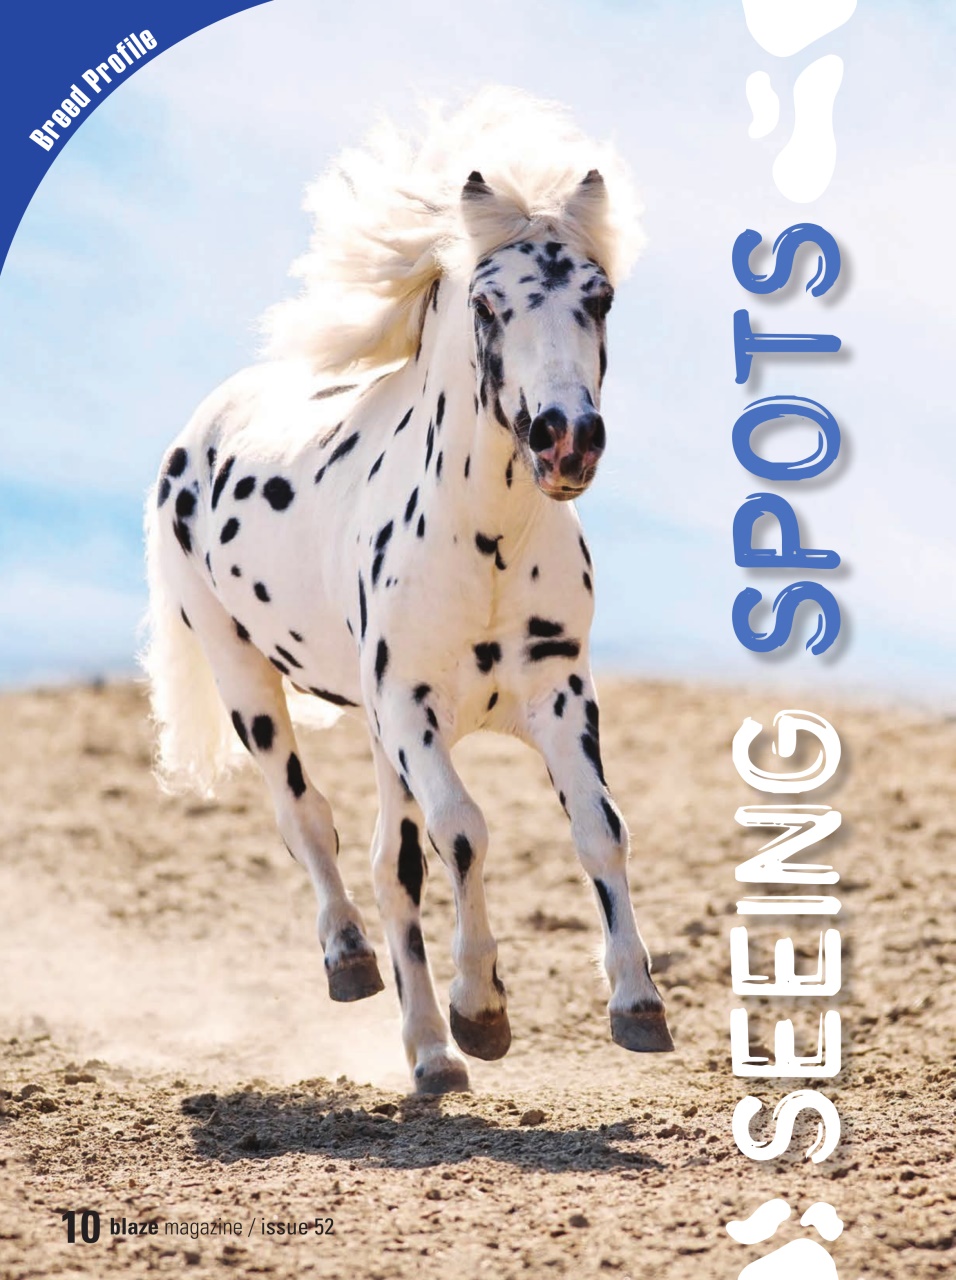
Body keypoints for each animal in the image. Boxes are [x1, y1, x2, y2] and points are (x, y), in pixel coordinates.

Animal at [143, 87, 674, 1094]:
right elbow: (464, 831)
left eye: (600, 297)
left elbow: (601, 828)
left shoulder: (559, 694)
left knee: (394, 866)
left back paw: (429, 1055)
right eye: (490, 302)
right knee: (309, 819)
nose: (566, 438)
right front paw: (484, 1011)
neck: (484, 543)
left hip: (384, 740)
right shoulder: (408, 706)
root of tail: (202, 427)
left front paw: (636, 1005)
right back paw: (352, 963)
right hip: (248, 679)